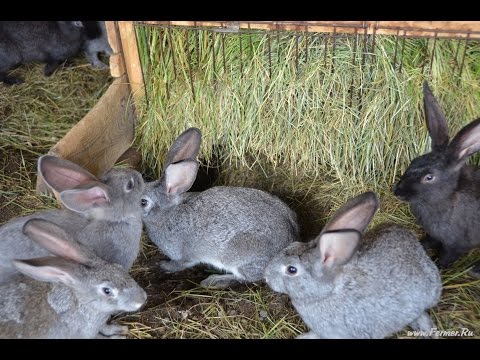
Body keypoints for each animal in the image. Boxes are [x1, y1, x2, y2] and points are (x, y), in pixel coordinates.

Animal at [0, 218, 146, 338]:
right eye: (107, 291)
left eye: (119, 267)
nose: (142, 298)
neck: (81, 302)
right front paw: (118, 336)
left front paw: (119, 329)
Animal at [140, 128, 300, 288]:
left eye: (143, 202)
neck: (167, 214)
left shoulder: (184, 256)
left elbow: (180, 264)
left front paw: (164, 266)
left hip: (237, 256)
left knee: (250, 277)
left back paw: (214, 280)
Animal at [394, 80, 480, 276]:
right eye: (413, 161)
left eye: (429, 177)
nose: (397, 192)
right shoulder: (435, 235)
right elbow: (430, 241)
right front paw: (420, 244)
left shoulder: (457, 245)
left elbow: (447, 258)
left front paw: (437, 266)